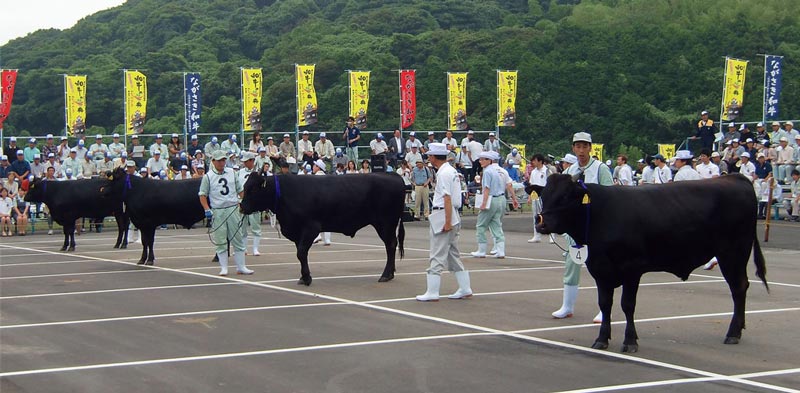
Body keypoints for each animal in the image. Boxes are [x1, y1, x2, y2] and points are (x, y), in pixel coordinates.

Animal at [239, 172, 404, 284]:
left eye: (252, 190)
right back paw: (390, 273)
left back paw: (385, 275)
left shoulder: (310, 227)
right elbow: (300, 253)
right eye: (244, 187)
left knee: (390, 245)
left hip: (385, 223)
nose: (241, 207)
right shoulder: (296, 231)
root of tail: (393, 175)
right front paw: (303, 276)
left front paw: (306, 278)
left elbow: (301, 252)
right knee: (392, 245)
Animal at [536, 175, 768, 352]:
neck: (600, 214)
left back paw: (733, 333)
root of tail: (734, 177)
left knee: (738, 288)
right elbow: (605, 304)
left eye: (566, 197)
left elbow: (627, 305)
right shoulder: (600, 269)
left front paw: (630, 341)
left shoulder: (632, 268)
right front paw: (602, 339)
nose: (541, 223)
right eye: (544, 196)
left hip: (733, 254)